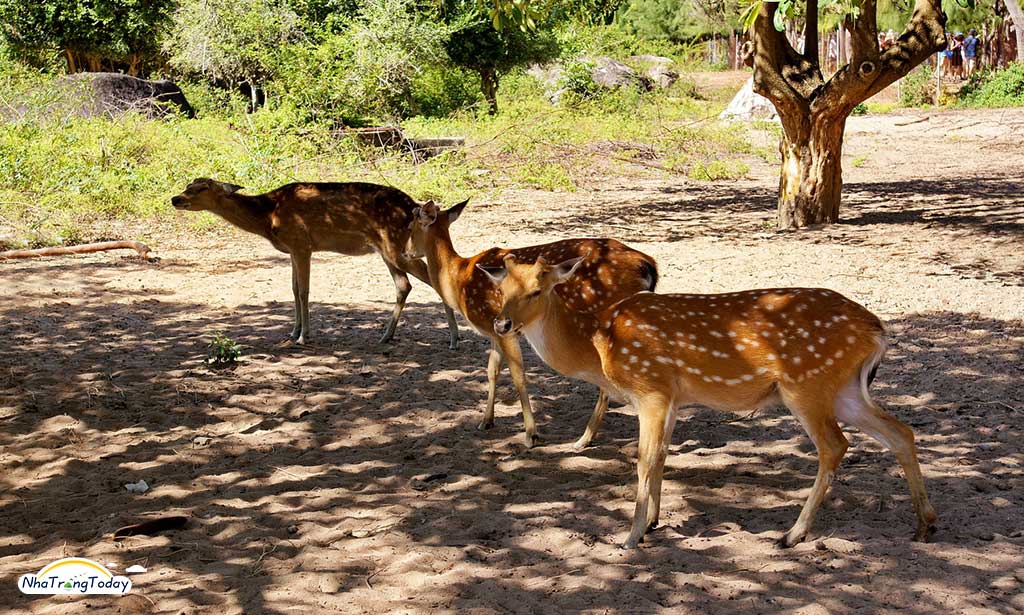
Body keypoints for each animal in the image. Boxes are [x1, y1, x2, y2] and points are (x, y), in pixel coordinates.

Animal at [172, 180, 456, 347]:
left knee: (429, 277)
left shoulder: (301, 244)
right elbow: (294, 289)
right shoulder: (291, 249)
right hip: (388, 249)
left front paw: (303, 336)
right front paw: (292, 331)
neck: (268, 216)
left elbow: (305, 291)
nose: (176, 199)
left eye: (202, 187)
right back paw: (386, 335)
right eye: (189, 183)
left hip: (396, 247)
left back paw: (454, 338)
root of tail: (412, 208)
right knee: (403, 285)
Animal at [403, 200, 659, 446]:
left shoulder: (505, 329)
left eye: (410, 225)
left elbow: (518, 376)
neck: (458, 280)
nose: (405, 252)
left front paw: (531, 435)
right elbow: (491, 370)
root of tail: (647, 265)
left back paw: (585, 438)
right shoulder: (495, 329)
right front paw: (486, 421)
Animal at [483, 253, 937, 548]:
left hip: (806, 384)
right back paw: (924, 525)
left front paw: (630, 536)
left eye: (538, 290)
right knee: (901, 432)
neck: (599, 344)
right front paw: (653, 522)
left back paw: (792, 534)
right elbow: (661, 457)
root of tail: (877, 330)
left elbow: (643, 459)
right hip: (845, 390)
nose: (502, 323)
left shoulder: (651, 388)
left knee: (835, 445)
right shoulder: (672, 398)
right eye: (501, 288)